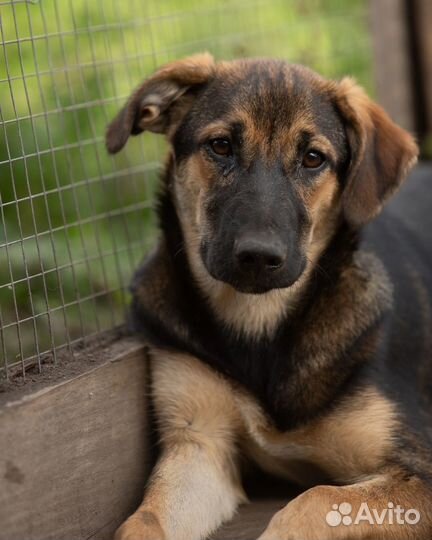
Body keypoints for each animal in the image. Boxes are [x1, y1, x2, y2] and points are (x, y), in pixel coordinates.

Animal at [105, 54, 432, 540]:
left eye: (313, 158)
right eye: (221, 146)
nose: (258, 256)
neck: (258, 324)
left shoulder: (418, 468)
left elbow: (315, 500)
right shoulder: (200, 444)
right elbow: (143, 519)